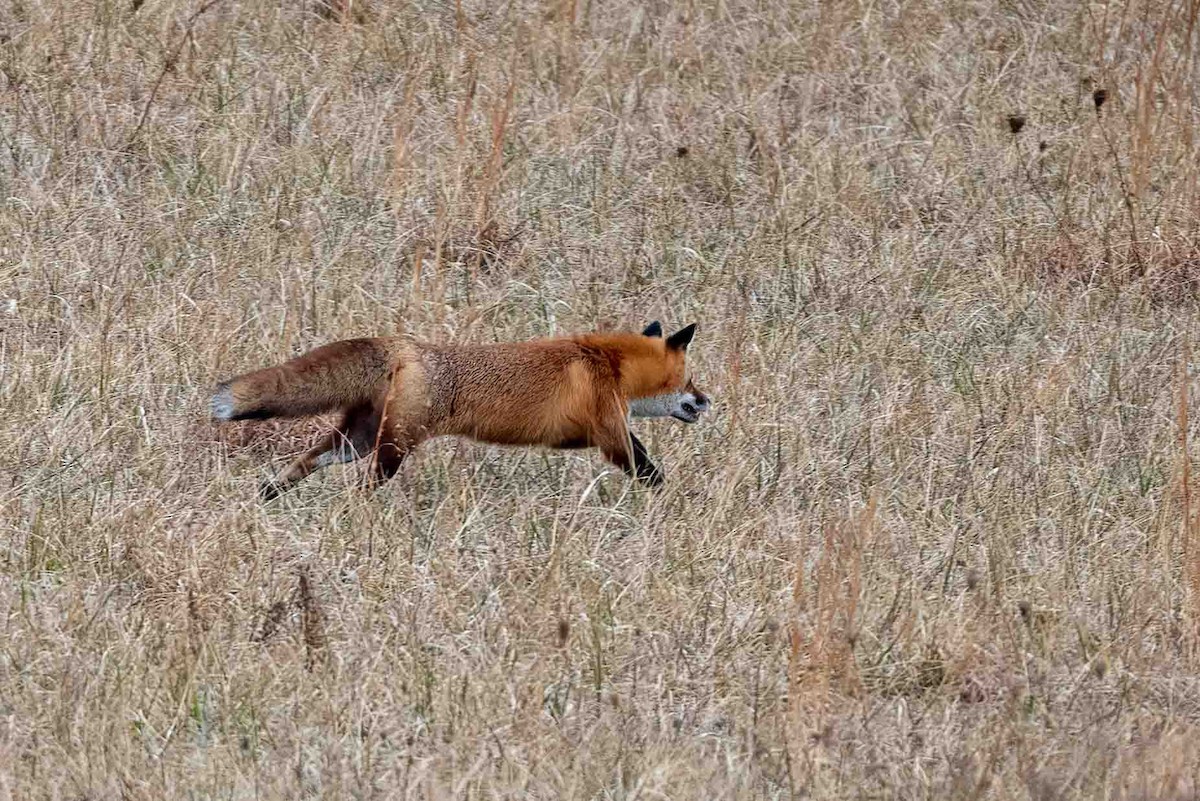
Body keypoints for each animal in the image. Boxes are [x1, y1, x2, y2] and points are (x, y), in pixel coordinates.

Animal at [210, 321, 710, 499]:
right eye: (689, 381)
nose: (706, 401)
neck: (608, 365)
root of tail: (406, 346)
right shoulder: (611, 433)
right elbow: (650, 472)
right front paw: (677, 504)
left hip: (358, 441)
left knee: (307, 461)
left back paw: (268, 494)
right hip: (392, 449)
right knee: (362, 489)